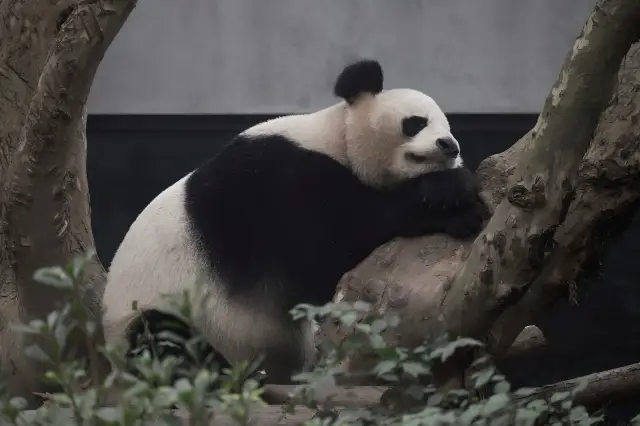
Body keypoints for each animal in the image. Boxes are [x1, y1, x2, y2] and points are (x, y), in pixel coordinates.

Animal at [102, 59, 490, 390]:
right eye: (416, 121)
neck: (336, 139)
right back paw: (230, 379)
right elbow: (329, 250)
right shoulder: (272, 183)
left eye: (449, 127)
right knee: (160, 337)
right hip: (147, 321)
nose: (450, 146)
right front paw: (452, 195)